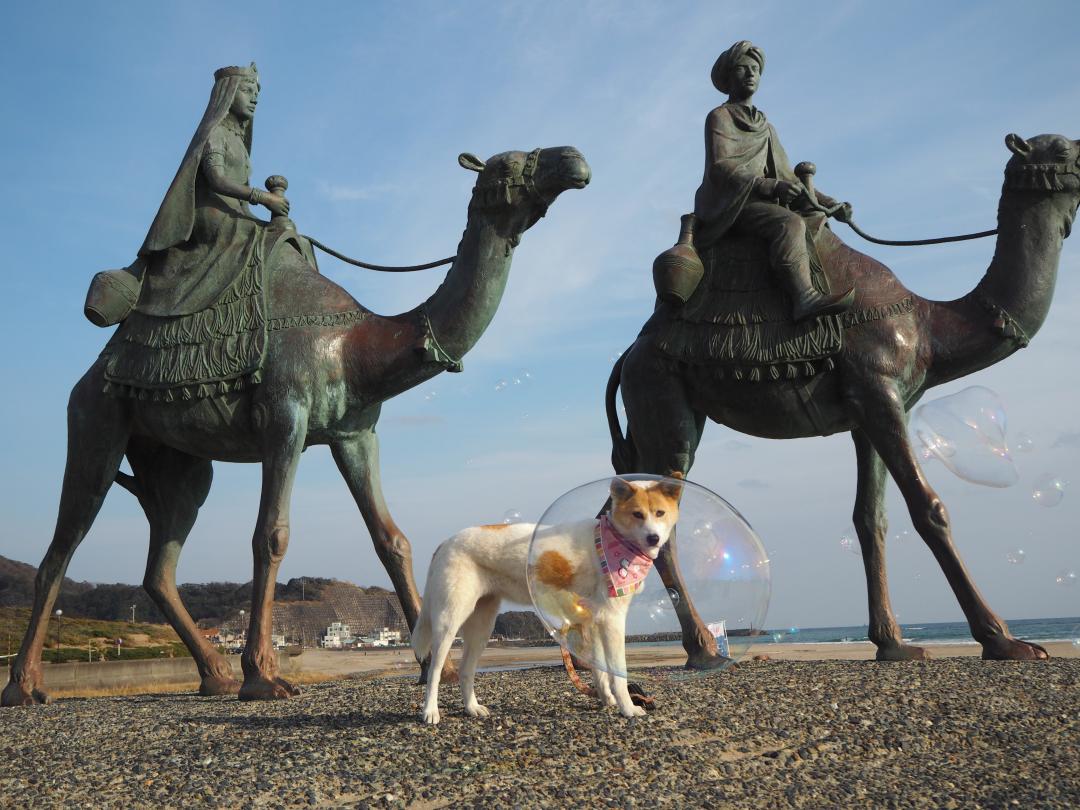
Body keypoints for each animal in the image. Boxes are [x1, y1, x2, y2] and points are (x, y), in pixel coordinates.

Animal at [408, 475, 678, 721]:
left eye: (660, 513)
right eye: (637, 514)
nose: (653, 538)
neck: (613, 540)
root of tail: (446, 542)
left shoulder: (593, 621)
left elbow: (600, 672)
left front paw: (607, 700)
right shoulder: (613, 620)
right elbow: (618, 674)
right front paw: (628, 708)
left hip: (481, 627)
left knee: (466, 671)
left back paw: (472, 708)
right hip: (449, 622)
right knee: (434, 671)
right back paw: (430, 711)